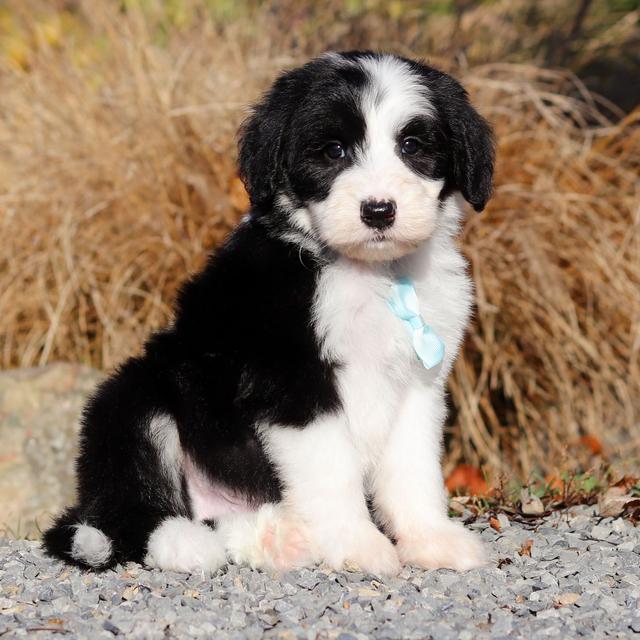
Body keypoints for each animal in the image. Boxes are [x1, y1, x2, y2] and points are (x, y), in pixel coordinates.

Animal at [43, 50, 496, 576]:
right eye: (334, 151)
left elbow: (413, 469)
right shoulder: (294, 383)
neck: (375, 274)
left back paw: (278, 540)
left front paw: (431, 540)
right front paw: (358, 545)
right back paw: (186, 544)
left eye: (412, 145)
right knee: (126, 509)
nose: (379, 210)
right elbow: (332, 469)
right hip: (136, 396)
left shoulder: (417, 383)